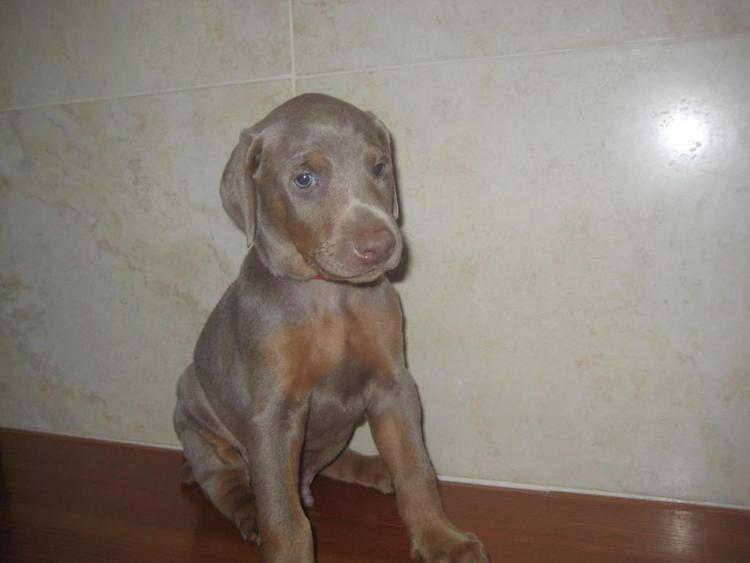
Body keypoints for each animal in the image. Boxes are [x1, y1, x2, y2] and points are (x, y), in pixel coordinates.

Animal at [173, 94, 490, 560]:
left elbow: (416, 470)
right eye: (304, 179)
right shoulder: (274, 410)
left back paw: (376, 468)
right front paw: (287, 550)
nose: (381, 245)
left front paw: (442, 539)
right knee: (228, 483)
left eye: (380, 167)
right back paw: (250, 513)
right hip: (194, 417)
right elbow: (284, 515)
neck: (331, 295)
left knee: (329, 461)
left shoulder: (392, 384)